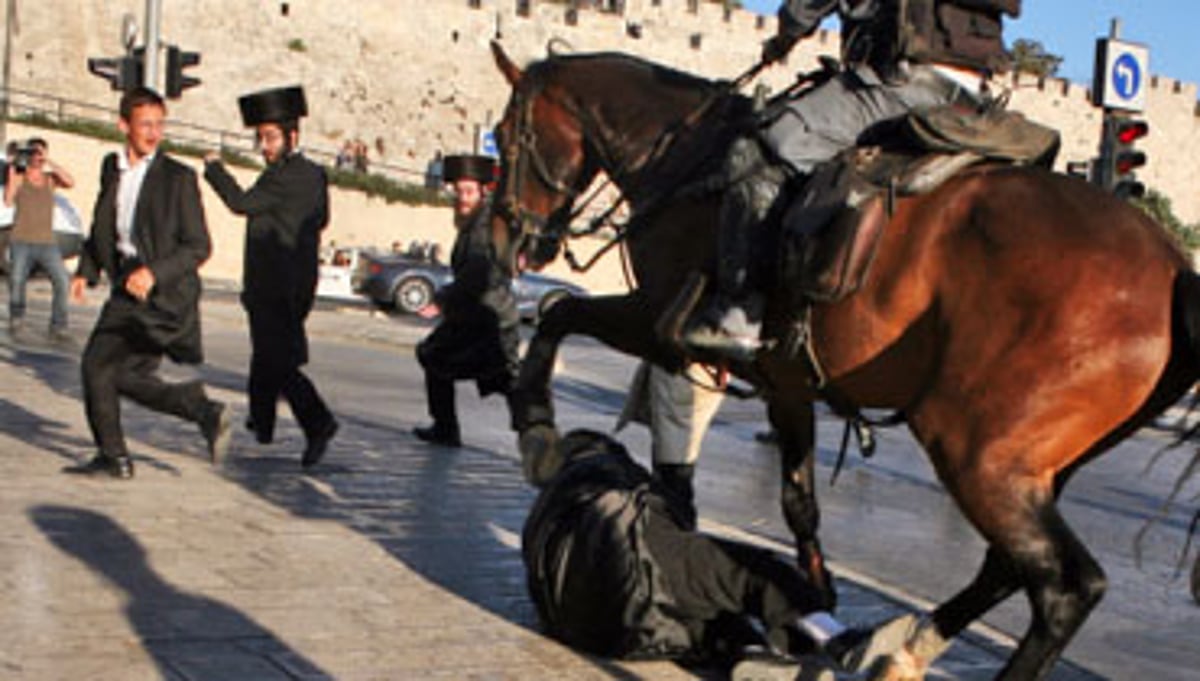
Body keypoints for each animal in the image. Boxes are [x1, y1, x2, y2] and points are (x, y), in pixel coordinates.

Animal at [487, 43, 1200, 681]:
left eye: (504, 135)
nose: (505, 234)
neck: (692, 163)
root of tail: (1174, 266)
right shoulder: (788, 382)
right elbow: (798, 502)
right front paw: (819, 601)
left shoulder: (659, 321)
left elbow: (558, 311)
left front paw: (537, 435)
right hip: (1033, 463)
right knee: (1006, 566)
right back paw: (903, 648)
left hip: (977, 449)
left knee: (1065, 587)